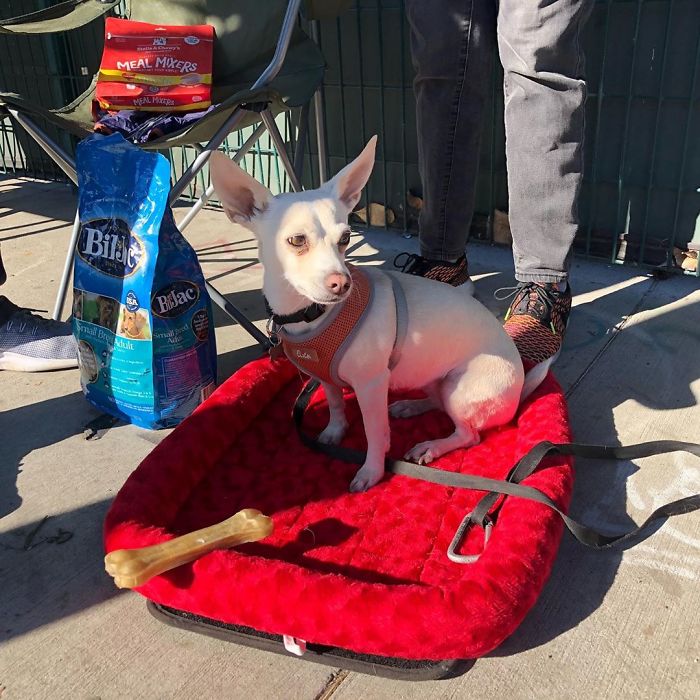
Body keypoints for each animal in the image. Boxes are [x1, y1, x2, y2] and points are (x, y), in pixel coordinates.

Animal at [211, 138, 540, 492]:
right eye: (297, 240)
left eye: (345, 239)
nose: (342, 283)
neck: (311, 315)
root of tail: (521, 389)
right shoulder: (326, 376)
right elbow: (335, 402)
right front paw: (335, 431)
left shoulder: (371, 385)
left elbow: (375, 432)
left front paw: (371, 470)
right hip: (434, 379)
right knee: (439, 402)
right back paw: (411, 406)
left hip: (460, 388)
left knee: (469, 434)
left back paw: (432, 446)